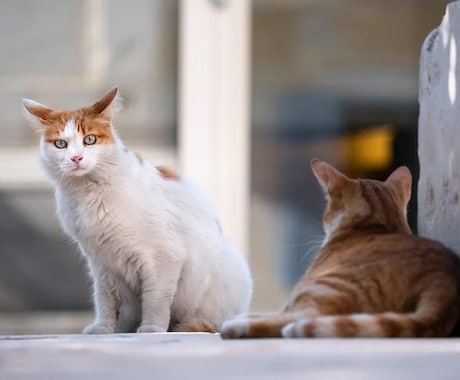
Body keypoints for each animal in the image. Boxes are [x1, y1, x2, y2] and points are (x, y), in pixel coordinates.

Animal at [22, 87, 252, 334]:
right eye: (61, 144)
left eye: (89, 139)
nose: (76, 158)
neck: (88, 193)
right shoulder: (101, 264)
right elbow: (104, 301)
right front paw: (103, 328)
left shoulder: (162, 258)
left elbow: (155, 299)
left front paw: (151, 328)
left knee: (209, 322)